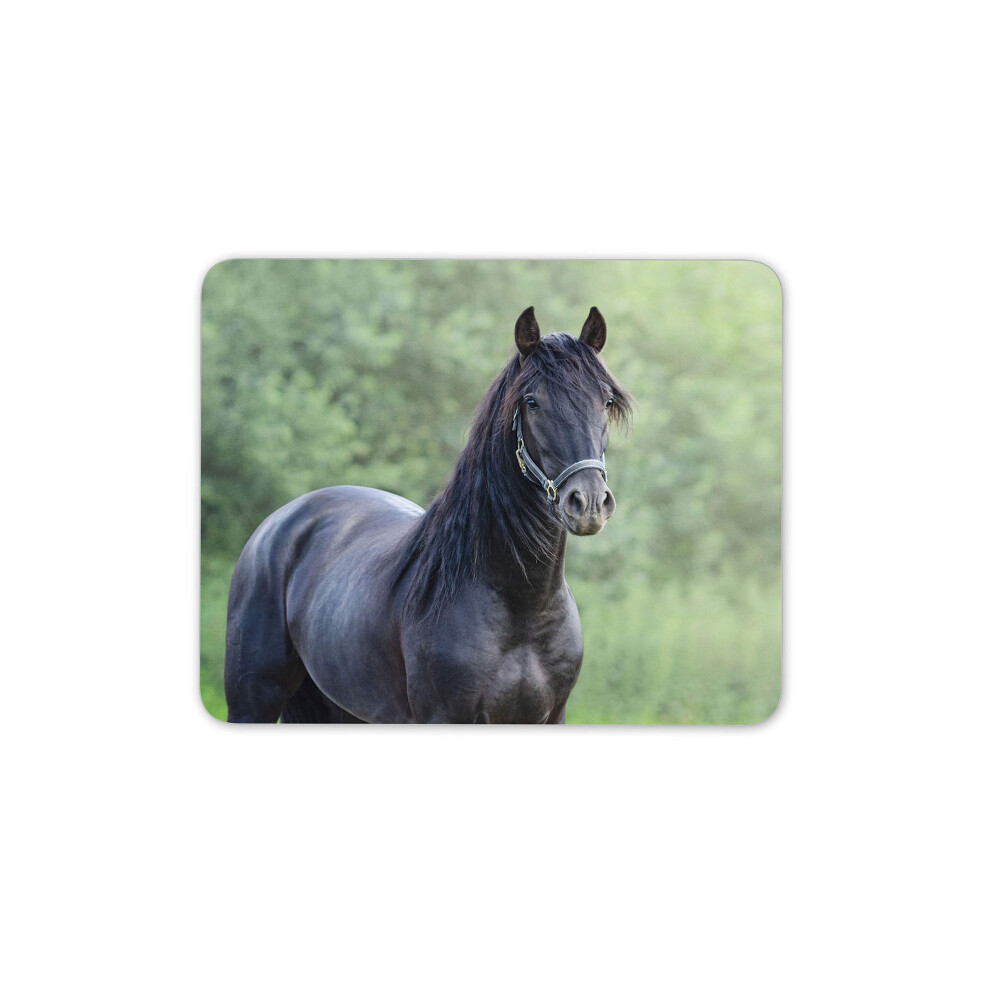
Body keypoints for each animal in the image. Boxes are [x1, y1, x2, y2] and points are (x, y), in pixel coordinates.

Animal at [224, 306, 632, 723]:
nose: (589, 503)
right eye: (532, 401)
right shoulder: (443, 716)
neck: (522, 609)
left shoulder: (550, 718)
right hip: (253, 701)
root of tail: (280, 521)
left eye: (606, 401)